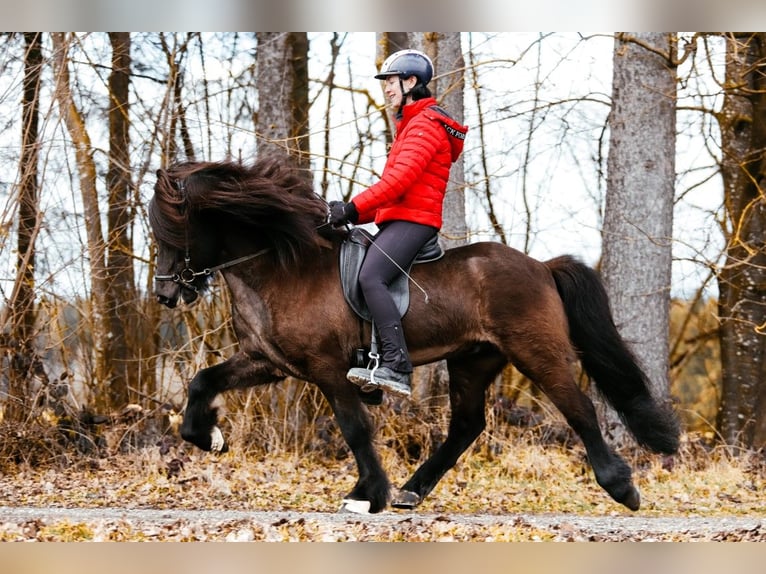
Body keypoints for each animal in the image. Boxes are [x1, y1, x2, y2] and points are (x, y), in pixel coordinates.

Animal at [150, 155, 684, 516]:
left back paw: (621, 487)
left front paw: (369, 495)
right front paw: (209, 437)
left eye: (175, 231)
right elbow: (201, 381)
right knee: (466, 426)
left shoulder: (327, 368)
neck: (282, 266)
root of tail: (541, 266)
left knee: (579, 408)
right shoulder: (269, 361)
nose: (165, 295)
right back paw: (412, 490)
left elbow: (355, 428)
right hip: (473, 360)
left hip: (537, 352)